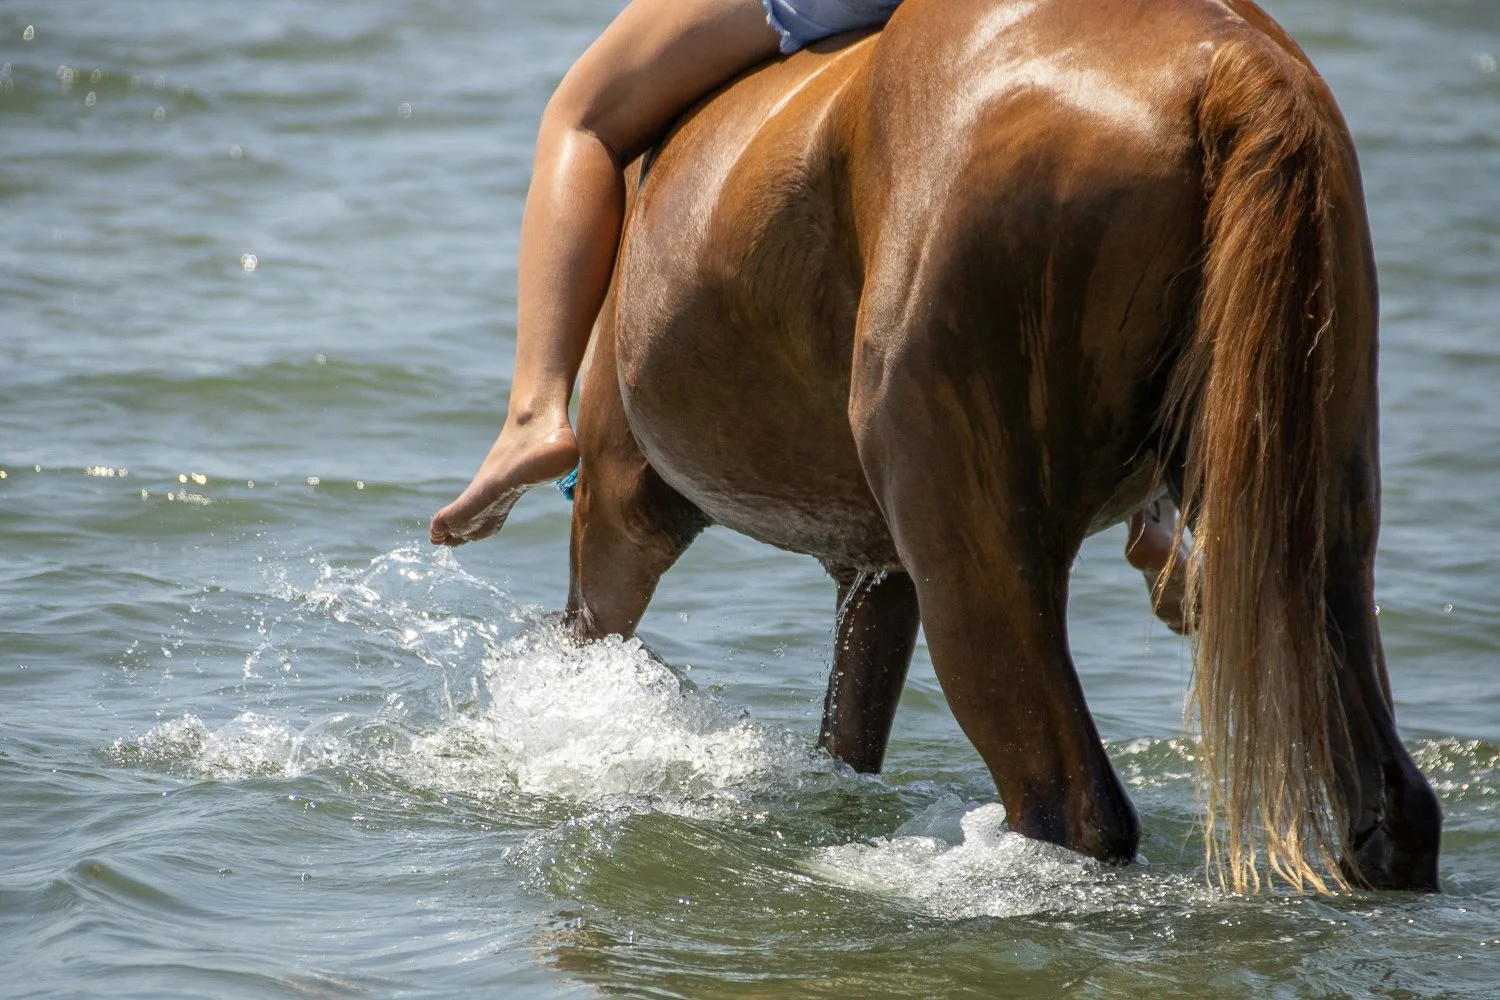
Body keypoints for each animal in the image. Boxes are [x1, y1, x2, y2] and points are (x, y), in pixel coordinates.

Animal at [556, 0, 1441, 892]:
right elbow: (848, 732)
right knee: (1395, 804)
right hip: (1314, 524)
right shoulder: (874, 565)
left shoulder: (619, 500)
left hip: (973, 542)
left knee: (1069, 803)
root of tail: (1223, 58)